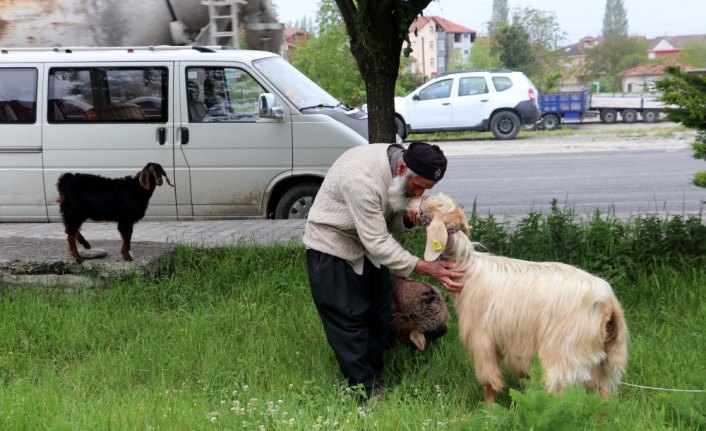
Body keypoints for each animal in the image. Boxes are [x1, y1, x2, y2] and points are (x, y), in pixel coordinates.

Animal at [408, 194, 628, 404]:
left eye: (432, 206)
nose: (410, 204)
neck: (466, 269)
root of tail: (609, 304)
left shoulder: (482, 339)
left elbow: (488, 381)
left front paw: (489, 410)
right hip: (610, 360)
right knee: (604, 398)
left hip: (563, 353)